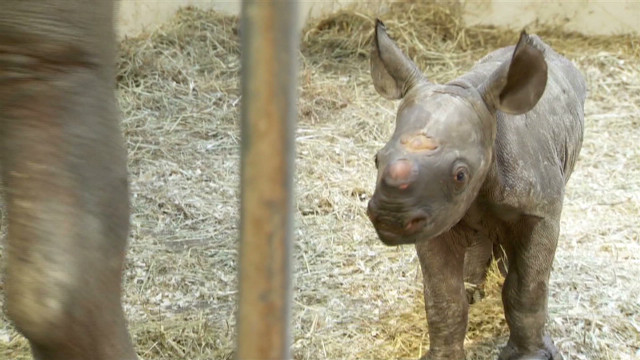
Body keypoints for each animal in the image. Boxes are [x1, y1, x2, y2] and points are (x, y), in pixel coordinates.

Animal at [370, 20, 584, 360]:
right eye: (377, 160)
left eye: (460, 175)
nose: (390, 218)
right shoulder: (434, 214)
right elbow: (444, 297)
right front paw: (443, 355)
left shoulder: (540, 211)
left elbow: (527, 288)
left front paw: (530, 355)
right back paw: (476, 286)